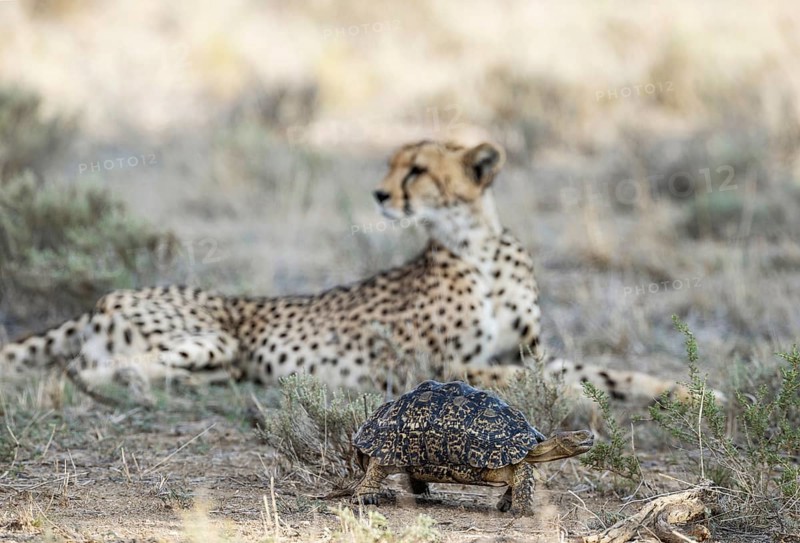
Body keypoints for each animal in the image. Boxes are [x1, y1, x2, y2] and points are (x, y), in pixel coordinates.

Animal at [0, 140, 702, 406]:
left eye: (416, 169)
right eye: (391, 164)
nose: (380, 194)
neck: (477, 244)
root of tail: (101, 298)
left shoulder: (529, 350)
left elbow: (607, 370)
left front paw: (692, 393)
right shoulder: (440, 366)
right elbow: (535, 380)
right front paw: (579, 401)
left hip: (219, 355)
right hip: (213, 335)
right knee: (85, 370)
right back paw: (132, 380)